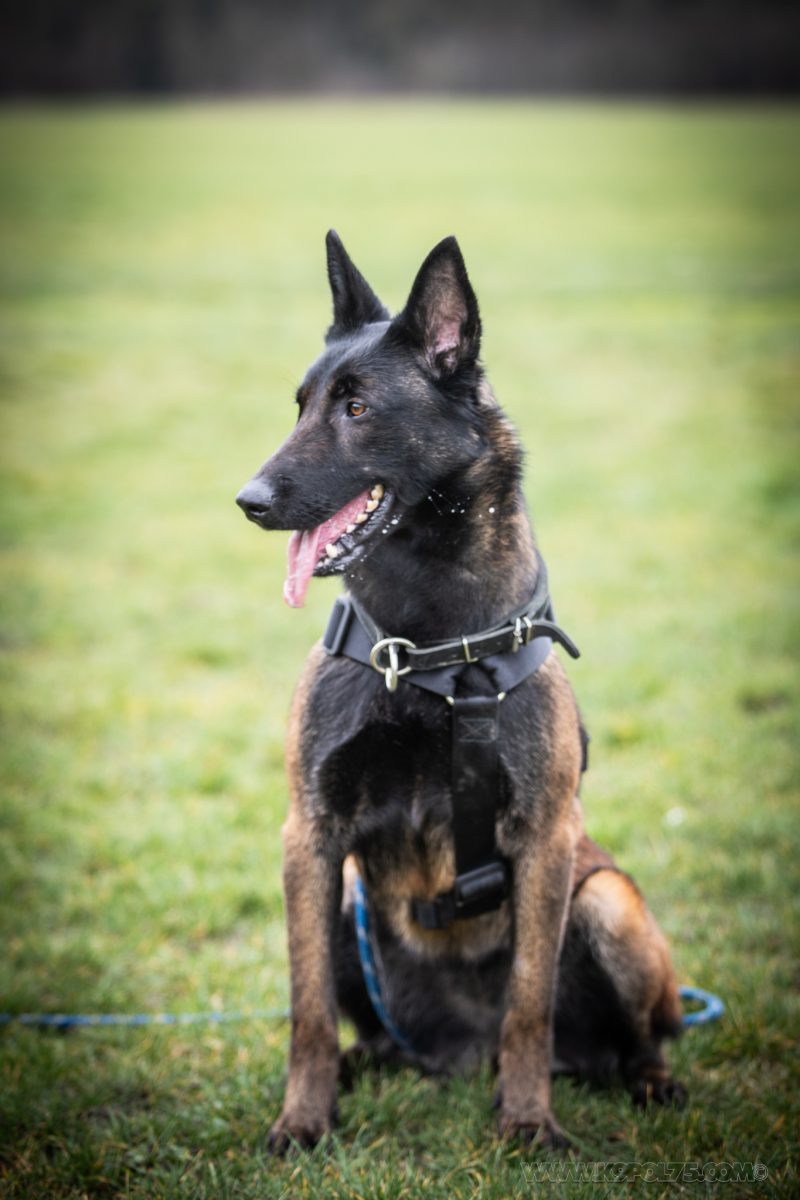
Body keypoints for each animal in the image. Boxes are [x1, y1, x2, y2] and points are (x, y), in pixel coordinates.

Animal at [236, 232, 685, 1152]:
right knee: (368, 1028)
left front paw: (529, 1122)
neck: (427, 645)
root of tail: (458, 1054)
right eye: (300, 406)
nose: (248, 501)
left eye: (356, 408)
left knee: (642, 1032)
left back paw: (645, 1080)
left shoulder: (545, 840)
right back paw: (365, 1065)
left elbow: (528, 1005)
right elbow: (306, 1010)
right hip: (348, 902)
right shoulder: (311, 837)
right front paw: (303, 1119)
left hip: (607, 901)